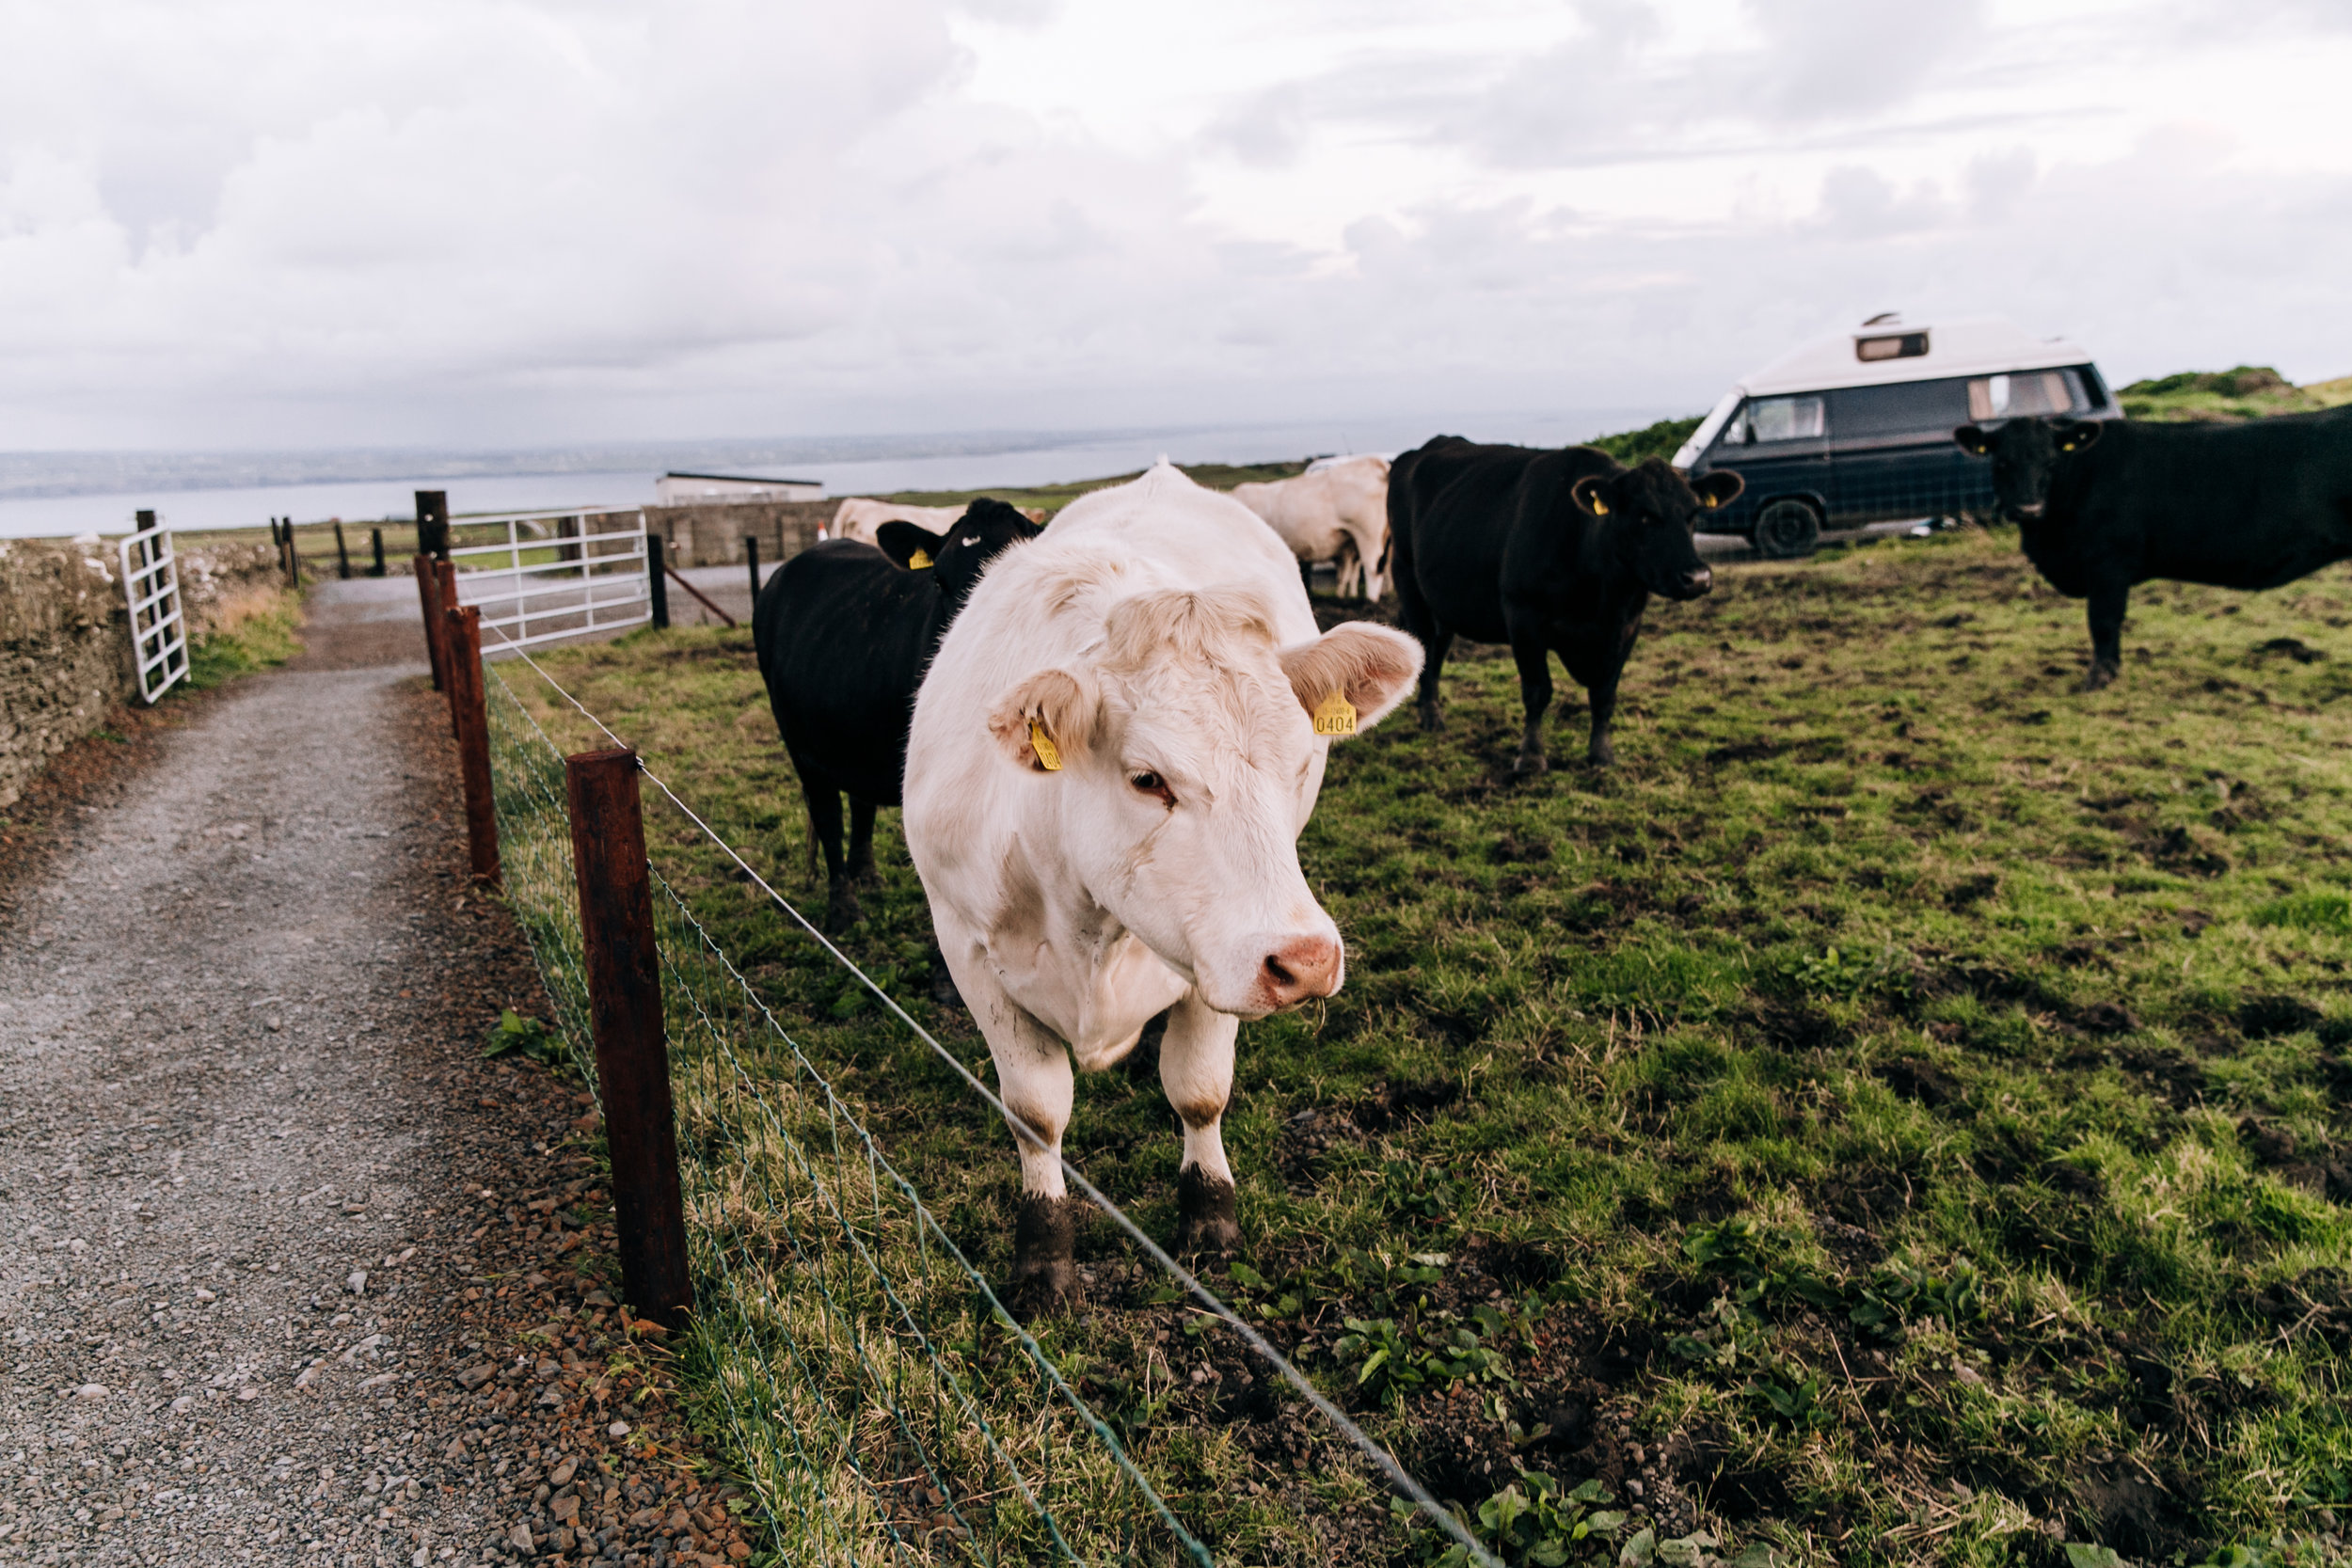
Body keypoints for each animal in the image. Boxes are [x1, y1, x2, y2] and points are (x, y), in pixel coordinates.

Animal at [757, 496, 1044, 926]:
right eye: (938, 580)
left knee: (859, 801)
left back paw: (866, 874)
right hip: (798, 741)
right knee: (827, 815)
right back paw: (844, 906)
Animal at [1383, 441, 1740, 770]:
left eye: (1693, 514)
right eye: (1643, 515)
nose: (1697, 578)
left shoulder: (1627, 626)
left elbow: (1604, 694)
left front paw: (1601, 755)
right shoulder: (1523, 617)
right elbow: (1538, 690)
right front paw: (1530, 757)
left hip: (1441, 603)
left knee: (1436, 648)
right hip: (1408, 581)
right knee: (1424, 643)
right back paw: (1432, 717)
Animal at [1957, 413, 2352, 690]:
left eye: (2051, 461)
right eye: (2001, 462)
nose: (2028, 508)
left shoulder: (2108, 562)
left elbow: (2103, 621)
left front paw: (2099, 678)